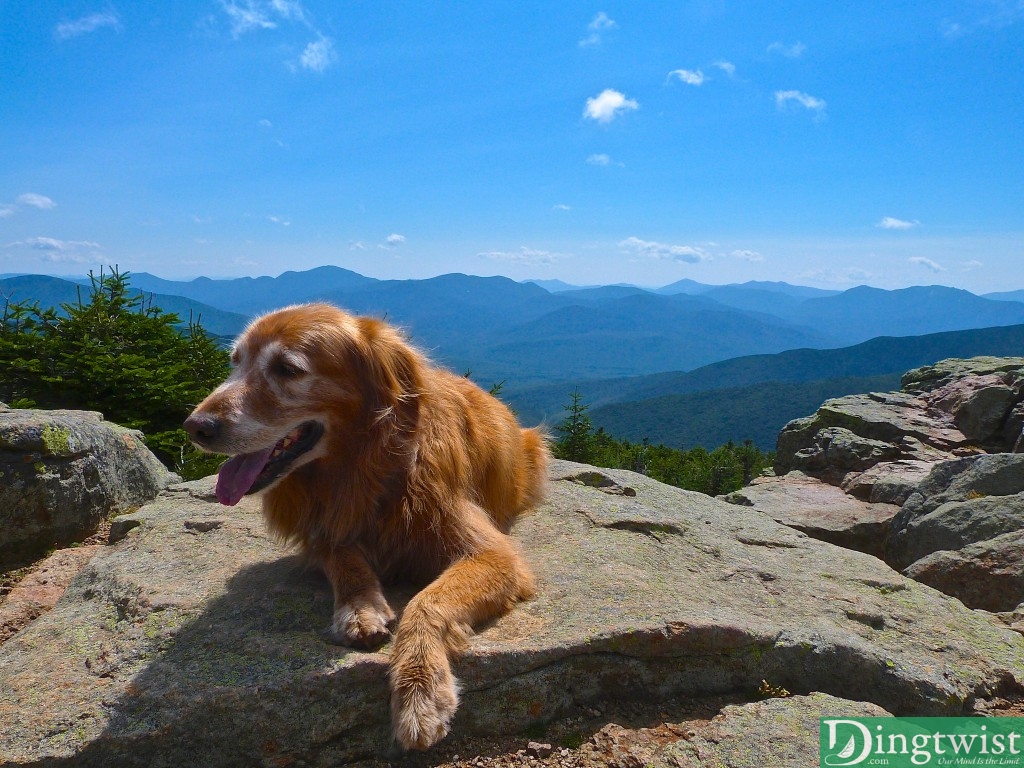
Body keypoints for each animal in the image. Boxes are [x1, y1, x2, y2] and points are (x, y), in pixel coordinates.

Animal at [186, 303, 552, 753]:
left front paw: (419, 691)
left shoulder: (494, 555)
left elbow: (426, 602)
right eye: (235, 362)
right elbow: (343, 558)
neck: (365, 466)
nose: (195, 426)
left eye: (287, 369)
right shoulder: (321, 528)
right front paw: (359, 606)